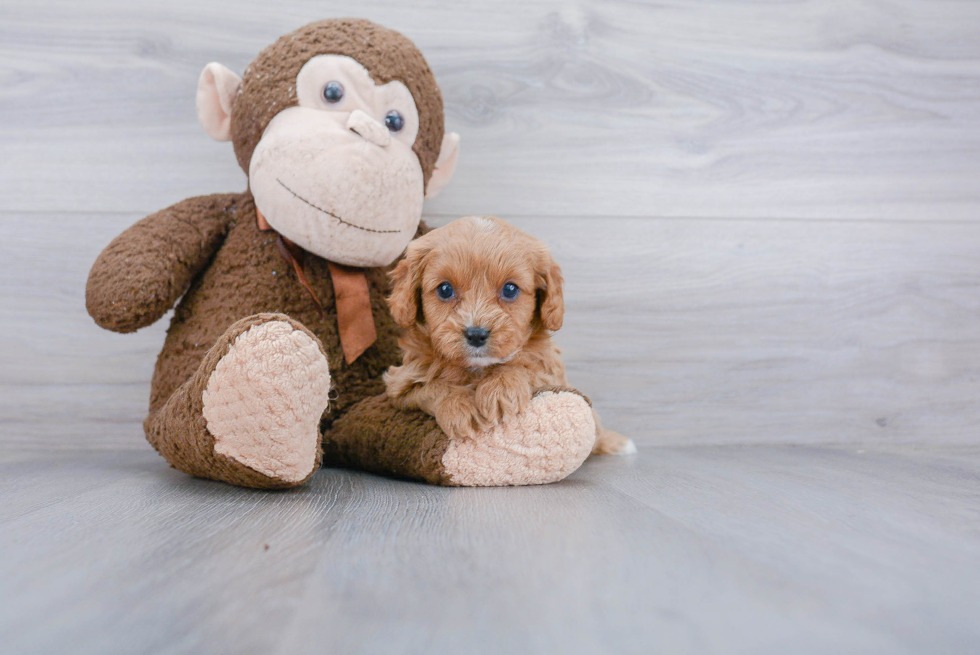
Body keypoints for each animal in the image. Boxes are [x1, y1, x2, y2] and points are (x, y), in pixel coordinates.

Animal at [382, 215, 636, 456]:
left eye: (510, 289)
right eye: (445, 289)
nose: (476, 335)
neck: (477, 369)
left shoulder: (551, 372)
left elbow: (522, 365)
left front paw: (500, 389)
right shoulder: (401, 382)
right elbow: (433, 386)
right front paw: (459, 406)